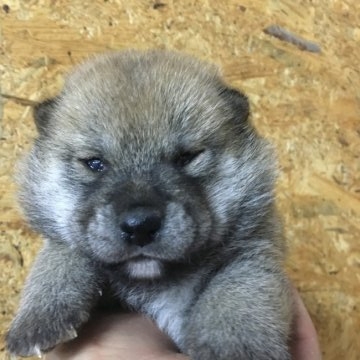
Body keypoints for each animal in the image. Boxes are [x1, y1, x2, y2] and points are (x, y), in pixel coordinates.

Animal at [5, 50, 292, 360]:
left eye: (187, 157)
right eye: (94, 163)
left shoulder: (254, 247)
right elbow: (61, 252)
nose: (140, 226)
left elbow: (238, 289)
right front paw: (41, 314)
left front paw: (233, 345)